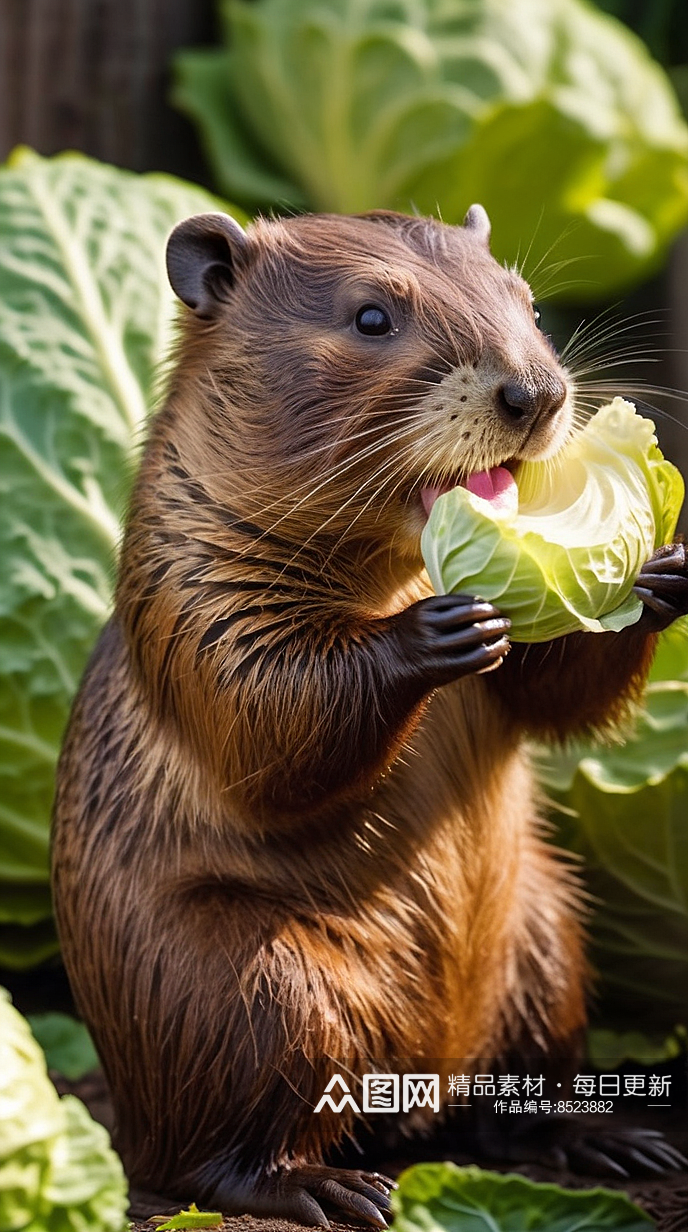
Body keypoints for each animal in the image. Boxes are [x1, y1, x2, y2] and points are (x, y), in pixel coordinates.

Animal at [49, 204, 688, 1222]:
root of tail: (415, 1093)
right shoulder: (188, 593)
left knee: (507, 1109)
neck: (391, 567)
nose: (538, 394)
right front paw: (439, 628)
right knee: (199, 1161)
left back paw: (612, 1140)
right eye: (372, 317)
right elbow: (265, 719)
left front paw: (660, 566)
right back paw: (335, 1188)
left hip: (545, 942)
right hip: (249, 989)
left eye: (526, 299)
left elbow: (558, 693)